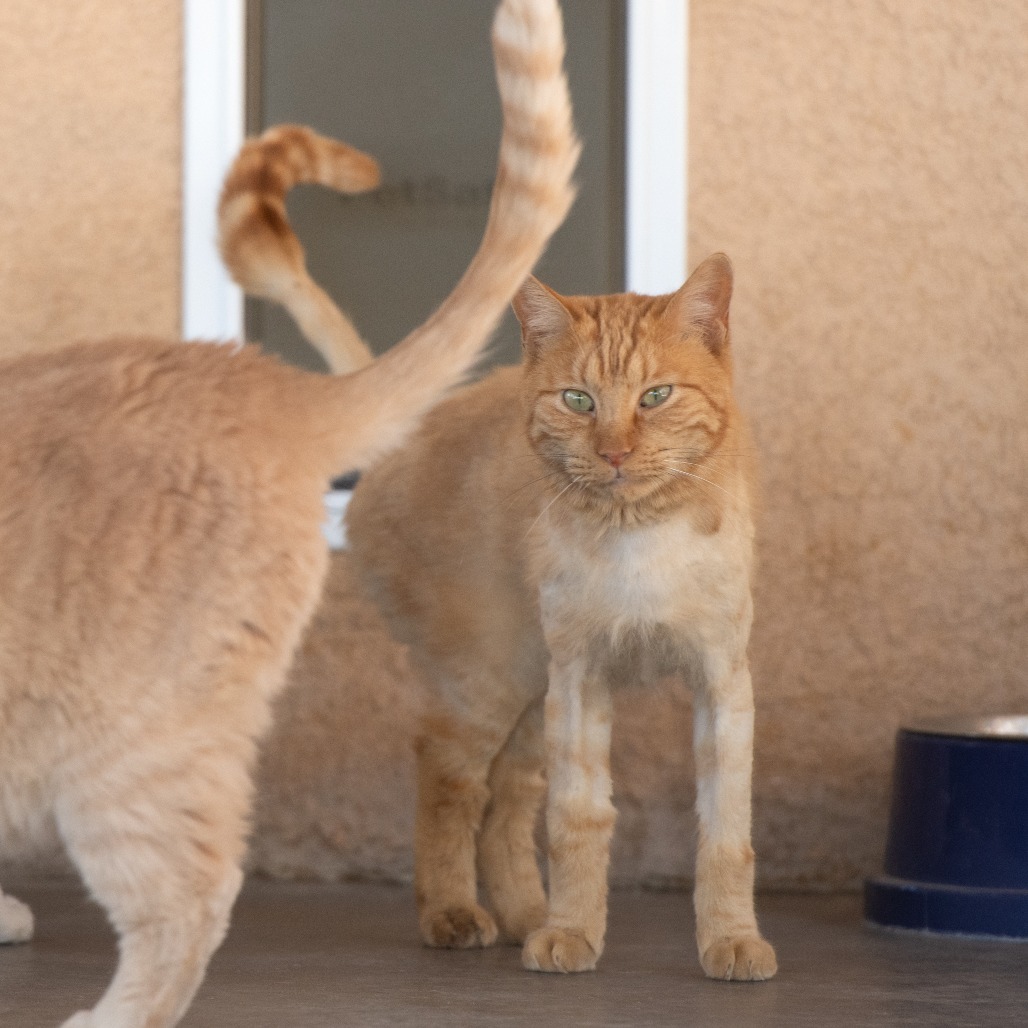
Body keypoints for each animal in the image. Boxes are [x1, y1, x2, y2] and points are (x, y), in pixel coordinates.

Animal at [345, 257, 777, 978]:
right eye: (578, 401)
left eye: (656, 396)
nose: (614, 453)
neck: (639, 535)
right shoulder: (581, 678)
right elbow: (577, 819)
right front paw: (574, 930)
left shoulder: (722, 680)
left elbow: (726, 830)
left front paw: (732, 939)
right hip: (496, 674)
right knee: (447, 770)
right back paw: (453, 912)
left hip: (529, 692)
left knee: (507, 797)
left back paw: (525, 914)